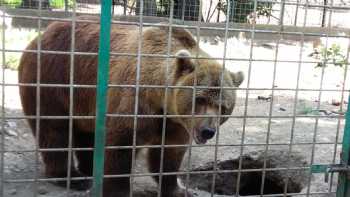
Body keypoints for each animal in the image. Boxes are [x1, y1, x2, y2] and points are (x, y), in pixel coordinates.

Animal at [18, 17, 243, 197]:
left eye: (223, 107)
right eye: (201, 99)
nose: (207, 130)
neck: (161, 99)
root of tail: (39, 36)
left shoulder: (175, 122)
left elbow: (169, 154)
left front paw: (178, 189)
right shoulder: (136, 102)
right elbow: (121, 147)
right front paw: (117, 190)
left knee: (86, 132)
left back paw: (90, 168)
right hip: (53, 79)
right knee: (54, 129)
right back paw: (73, 177)